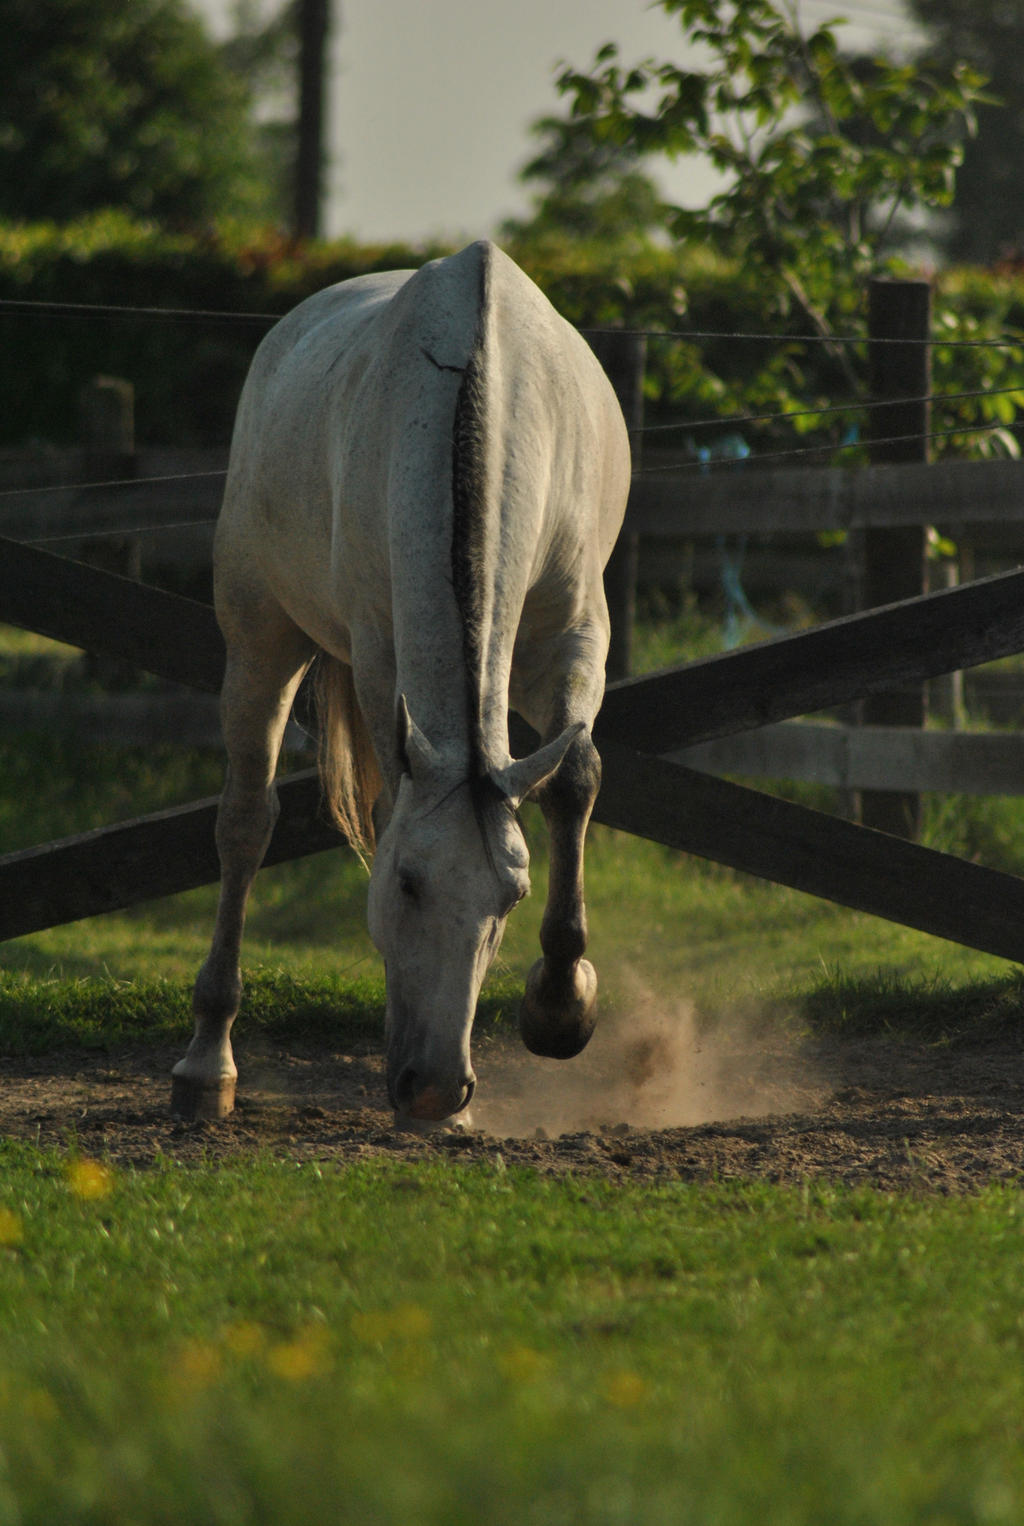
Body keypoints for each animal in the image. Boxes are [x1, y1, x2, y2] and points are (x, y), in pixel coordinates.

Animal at [172, 238, 628, 1123]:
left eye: (509, 900)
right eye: (408, 885)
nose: (439, 1087)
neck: (481, 388)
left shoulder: (574, 636)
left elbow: (575, 778)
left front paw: (562, 1008)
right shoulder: (383, 658)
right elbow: (384, 811)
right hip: (261, 640)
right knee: (245, 821)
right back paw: (208, 1062)